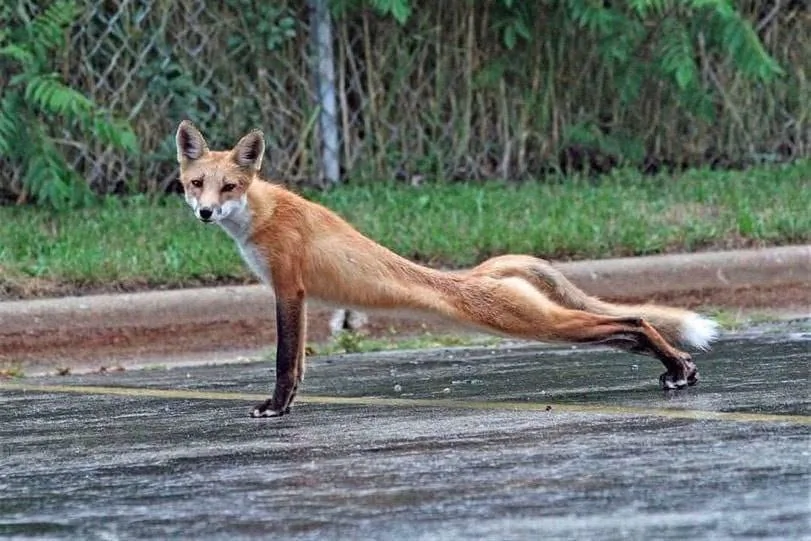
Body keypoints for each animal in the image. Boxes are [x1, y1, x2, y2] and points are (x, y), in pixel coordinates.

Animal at [175, 120, 719, 418]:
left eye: (228, 187)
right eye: (197, 183)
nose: (205, 213)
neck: (262, 214)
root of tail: (482, 273)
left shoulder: (289, 289)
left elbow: (285, 362)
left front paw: (274, 408)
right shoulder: (301, 297)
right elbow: (301, 366)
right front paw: (285, 408)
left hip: (534, 323)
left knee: (633, 320)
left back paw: (676, 368)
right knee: (624, 330)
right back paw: (681, 368)